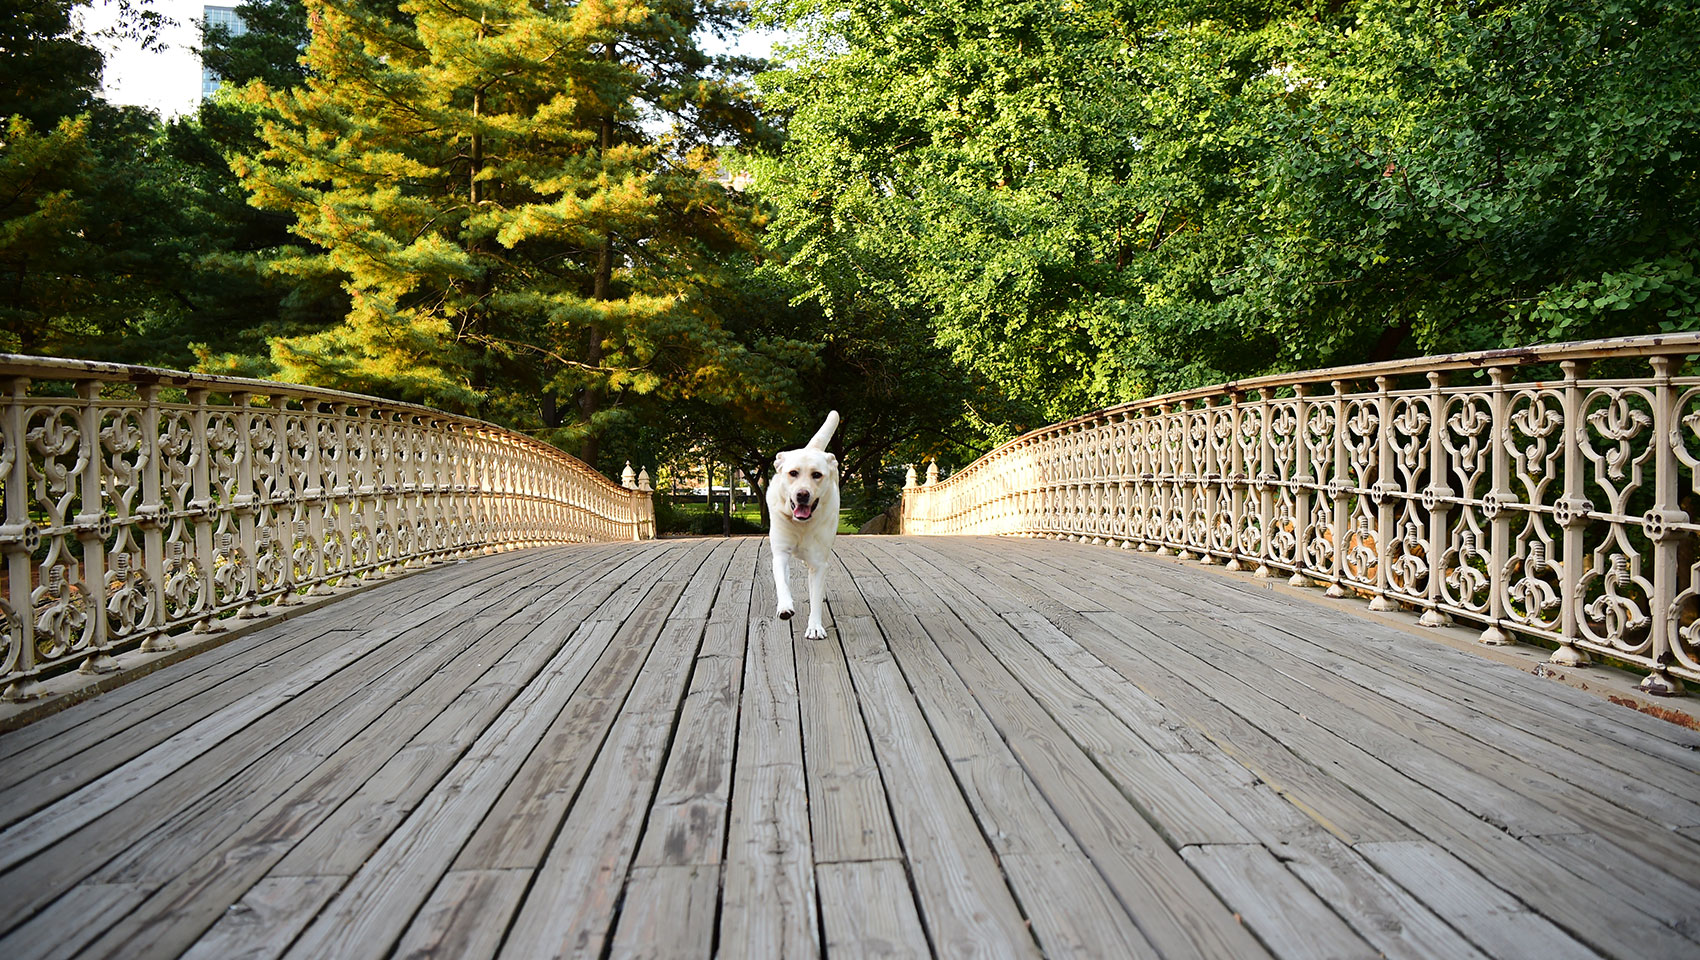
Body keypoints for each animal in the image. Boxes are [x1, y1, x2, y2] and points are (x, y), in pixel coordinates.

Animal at [768, 407, 839, 632]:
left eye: (816, 475)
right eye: (793, 473)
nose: (802, 494)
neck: (801, 525)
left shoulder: (819, 564)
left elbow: (815, 597)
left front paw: (815, 626)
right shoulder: (780, 553)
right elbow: (781, 582)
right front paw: (784, 607)